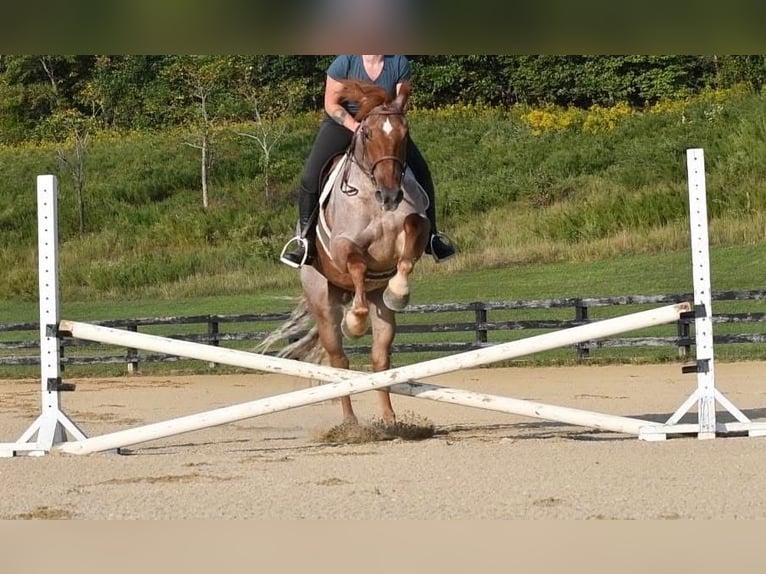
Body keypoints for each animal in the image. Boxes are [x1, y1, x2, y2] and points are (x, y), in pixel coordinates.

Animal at [271, 79, 431, 425]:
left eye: (404, 134)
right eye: (367, 134)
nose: (390, 195)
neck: (372, 193)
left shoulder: (416, 228)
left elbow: (410, 243)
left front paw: (399, 291)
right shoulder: (343, 246)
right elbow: (356, 264)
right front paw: (356, 320)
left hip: (379, 308)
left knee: (380, 359)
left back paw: (389, 418)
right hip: (322, 296)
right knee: (338, 360)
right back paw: (350, 423)